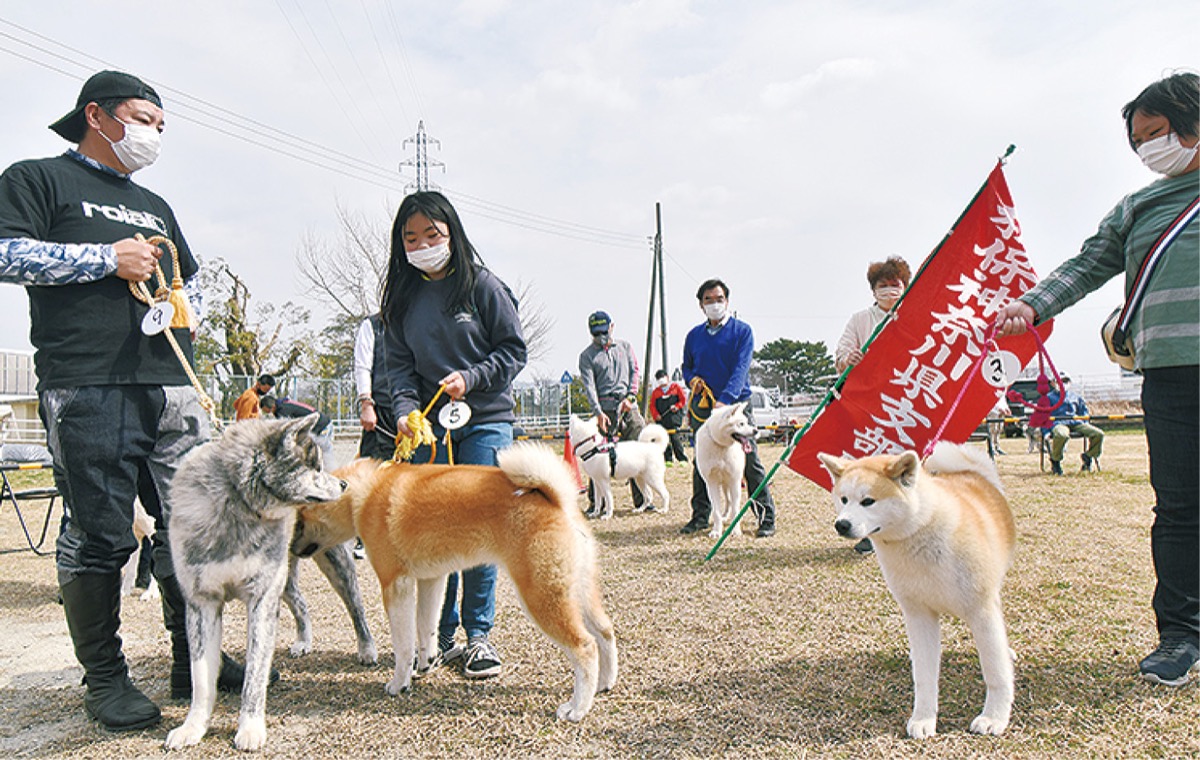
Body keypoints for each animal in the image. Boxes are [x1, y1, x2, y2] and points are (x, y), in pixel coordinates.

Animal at [163, 413, 348, 749]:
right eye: (314, 468)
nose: (343, 484)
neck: (240, 502)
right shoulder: (201, 604)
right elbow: (201, 678)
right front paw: (193, 727)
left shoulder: (262, 600)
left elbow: (255, 677)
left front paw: (250, 728)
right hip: (285, 581)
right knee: (300, 603)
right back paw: (303, 642)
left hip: (331, 564)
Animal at [691, 403, 753, 540]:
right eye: (741, 424)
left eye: (747, 422)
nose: (756, 431)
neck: (721, 445)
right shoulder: (711, 484)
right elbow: (716, 511)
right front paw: (716, 531)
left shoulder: (735, 481)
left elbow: (735, 509)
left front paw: (735, 530)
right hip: (724, 484)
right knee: (728, 500)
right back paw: (724, 516)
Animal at [816, 441, 1012, 739]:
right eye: (844, 499)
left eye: (868, 501)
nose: (842, 524)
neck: (922, 531)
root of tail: (970, 472)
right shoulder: (918, 614)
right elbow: (924, 676)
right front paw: (923, 719)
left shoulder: (981, 610)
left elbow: (996, 671)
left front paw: (994, 717)